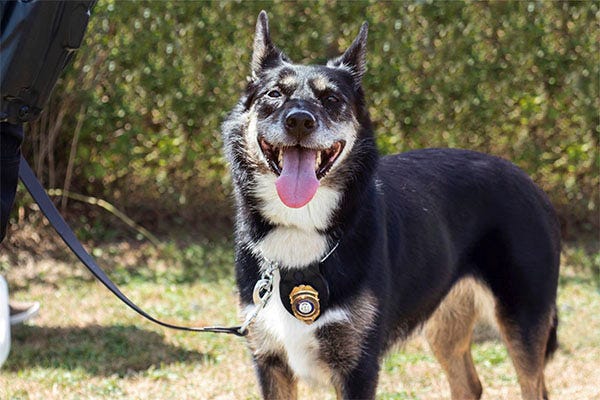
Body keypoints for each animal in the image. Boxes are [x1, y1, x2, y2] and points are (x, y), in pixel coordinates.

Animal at [221, 10, 564, 398]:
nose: (299, 121)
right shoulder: (270, 361)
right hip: (446, 321)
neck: (302, 228)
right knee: (469, 384)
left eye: (332, 99)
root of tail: (531, 183)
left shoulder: (358, 367)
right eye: (274, 93)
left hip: (523, 319)